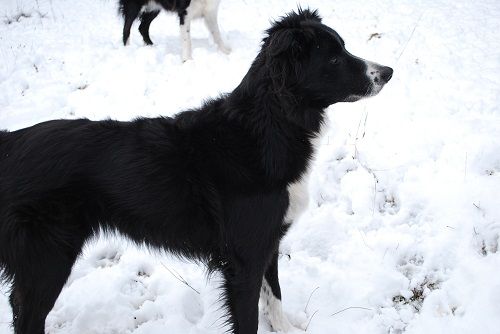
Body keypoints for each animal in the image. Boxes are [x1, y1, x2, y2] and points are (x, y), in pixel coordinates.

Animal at [0, 7, 392, 334]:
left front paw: (285, 329)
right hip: (47, 259)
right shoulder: (244, 260)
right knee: (27, 315)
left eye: (343, 48)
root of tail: (10, 142)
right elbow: (250, 316)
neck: (267, 126)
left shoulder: (267, 242)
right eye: (334, 57)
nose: (388, 72)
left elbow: (274, 296)